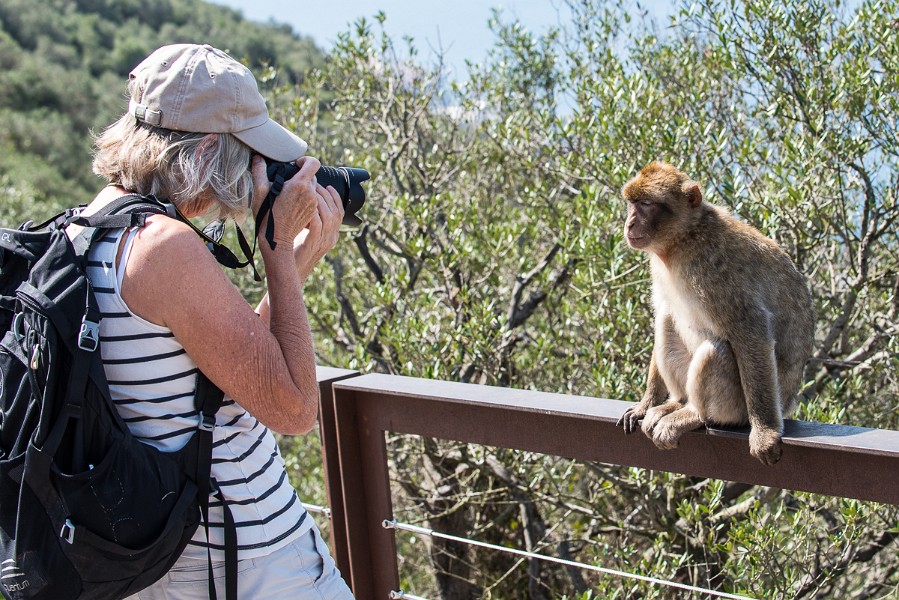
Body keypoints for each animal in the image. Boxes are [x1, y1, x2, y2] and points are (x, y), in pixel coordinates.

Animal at [616, 161, 820, 464]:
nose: (630, 223)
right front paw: (646, 403)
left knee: (716, 350)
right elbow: (663, 309)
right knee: (667, 320)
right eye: (632, 204)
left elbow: (751, 331)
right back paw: (675, 403)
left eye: (647, 204)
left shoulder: (716, 268)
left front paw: (765, 432)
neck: (682, 241)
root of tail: (789, 402)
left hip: (738, 406)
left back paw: (694, 415)